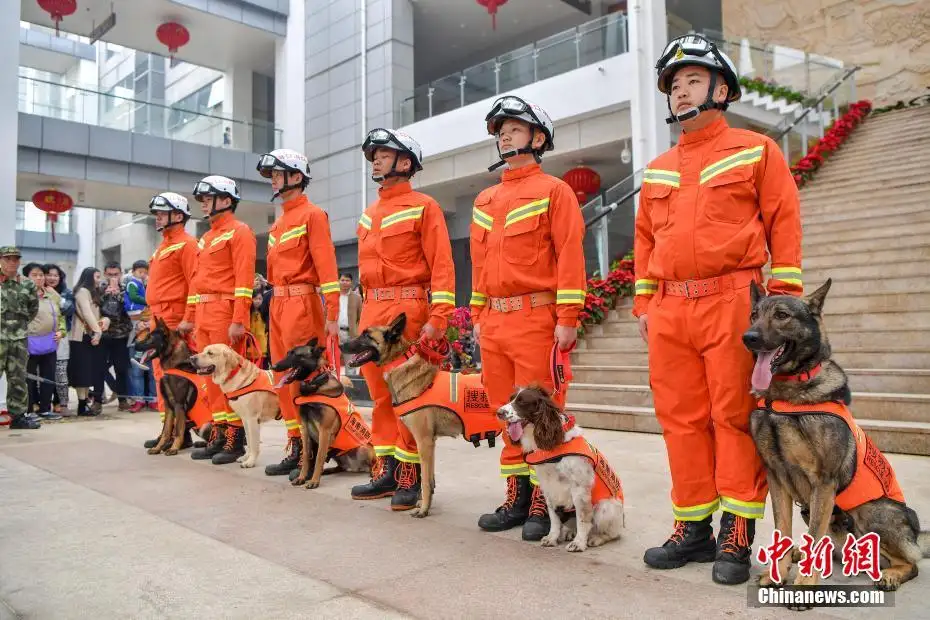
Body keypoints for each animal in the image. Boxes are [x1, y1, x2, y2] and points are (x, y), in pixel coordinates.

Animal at [135, 320, 209, 456]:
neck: (176, 364)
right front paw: (158, 447)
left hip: (204, 426)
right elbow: (166, 430)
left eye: (150, 337)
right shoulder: (168, 406)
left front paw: (173, 448)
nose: (134, 345)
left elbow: (178, 431)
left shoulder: (178, 405)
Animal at [270, 340, 372, 490]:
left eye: (296, 355)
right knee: (340, 467)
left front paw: (314, 481)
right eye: (288, 353)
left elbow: (318, 457)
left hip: (363, 449)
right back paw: (328, 470)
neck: (314, 385)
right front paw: (302, 477)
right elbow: (307, 457)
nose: (273, 366)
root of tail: (356, 468)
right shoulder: (305, 430)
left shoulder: (324, 431)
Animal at [496, 388, 620, 552]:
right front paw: (552, 538)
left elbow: (582, 519)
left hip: (606, 507)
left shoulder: (579, 489)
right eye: (511, 399)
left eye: (522, 401)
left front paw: (579, 543)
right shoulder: (548, 487)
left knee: (612, 533)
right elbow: (554, 517)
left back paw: (596, 538)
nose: (498, 412)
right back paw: (568, 531)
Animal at [740, 278, 928, 596]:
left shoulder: (823, 483)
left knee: (910, 563)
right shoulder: (777, 478)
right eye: (754, 315)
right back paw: (799, 553)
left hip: (871, 512)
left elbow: (815, 535)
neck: (786, 396)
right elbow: (783, 528)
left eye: (782, 315)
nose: (748, 338)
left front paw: (804, 586)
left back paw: (890, 574)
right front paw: (778, 573)